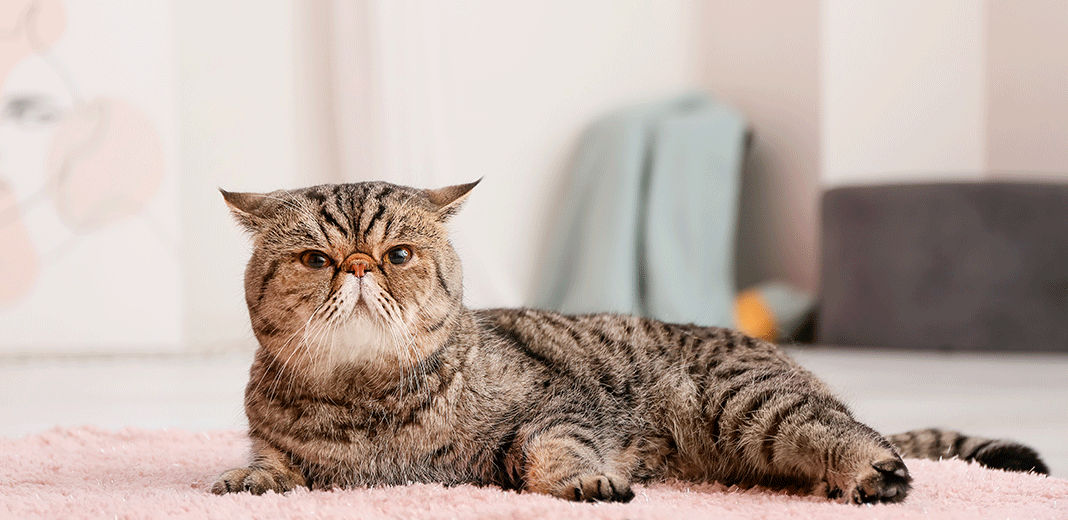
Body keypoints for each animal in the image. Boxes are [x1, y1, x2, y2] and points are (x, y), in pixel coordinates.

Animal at [212, 182, 1046, 503]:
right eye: (316, 259)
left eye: (398, 255)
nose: (357, 266)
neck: (369, 402)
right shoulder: (281, 444)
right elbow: (273, 465)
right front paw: (249, 480)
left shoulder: (558, 406)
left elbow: (551, 447)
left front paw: (583, 481)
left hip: (754, 407)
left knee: (857, 433)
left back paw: (871, 473)